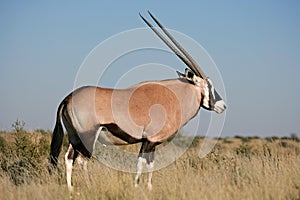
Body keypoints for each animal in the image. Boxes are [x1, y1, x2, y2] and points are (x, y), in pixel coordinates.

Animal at [49, 11, 227, 192]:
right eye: (209, 85)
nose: (223, 106)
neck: (174, 97)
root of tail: (68, 98)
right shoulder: (150, 140)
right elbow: (144, 163)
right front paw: (140, 186)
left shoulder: (149, 142)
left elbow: (148, 163)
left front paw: (145, 186)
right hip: (88, 135)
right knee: (82, 160)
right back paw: (89, 186)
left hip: (74, 136)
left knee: (69, 157)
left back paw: (71, 189)